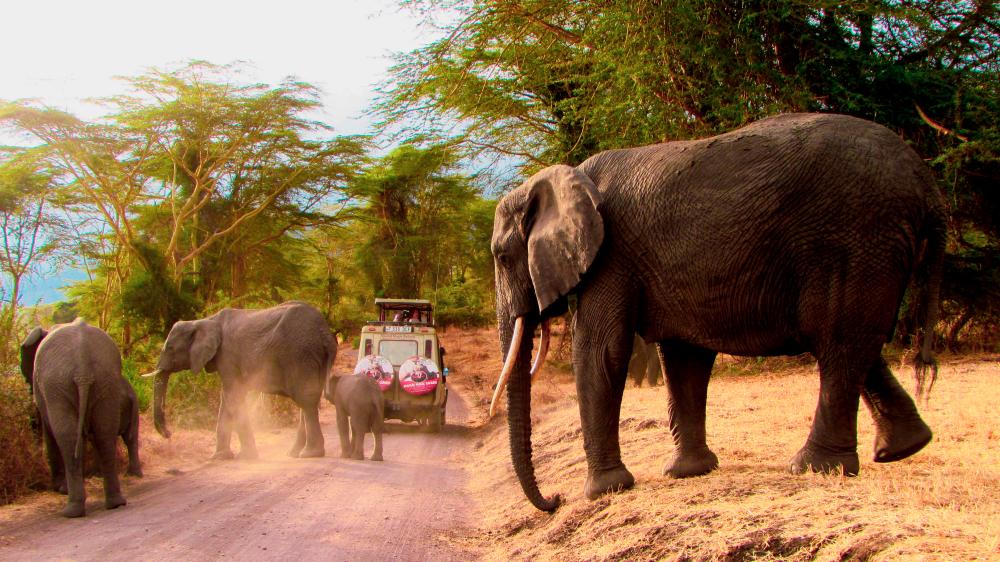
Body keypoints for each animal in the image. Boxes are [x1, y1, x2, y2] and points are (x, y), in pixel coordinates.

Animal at [20, 319, 142, 518]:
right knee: (105, 435)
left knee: (67, 438)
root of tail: (82, 362)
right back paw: (116, 502)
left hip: (58, 385)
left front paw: (59, 488)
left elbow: (51, 433)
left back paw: (71, 510)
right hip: (107, 380)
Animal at [146, 301, 336, 460]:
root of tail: (325, 333)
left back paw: (310, 454)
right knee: (307, 401)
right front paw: (220, 457)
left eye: (170, 348)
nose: (168, 434)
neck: (204, 321)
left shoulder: (227, 356)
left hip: (301, 355)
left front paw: (246, 457)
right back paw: (294, 453)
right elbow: (226, 400)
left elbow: (233, 397)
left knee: (306, 400)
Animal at [489, 113, 945, 511]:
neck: (562, 177)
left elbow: (602, 351)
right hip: (873, 245)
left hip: (854, 238)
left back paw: (815, 468)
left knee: (838, 342)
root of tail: (927, 183)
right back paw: (903, 448)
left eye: (501, 256)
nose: (554, 501)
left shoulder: (610, 255)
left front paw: (604, 491)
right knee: (860, 343)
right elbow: (683, 356)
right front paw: (688, 472)